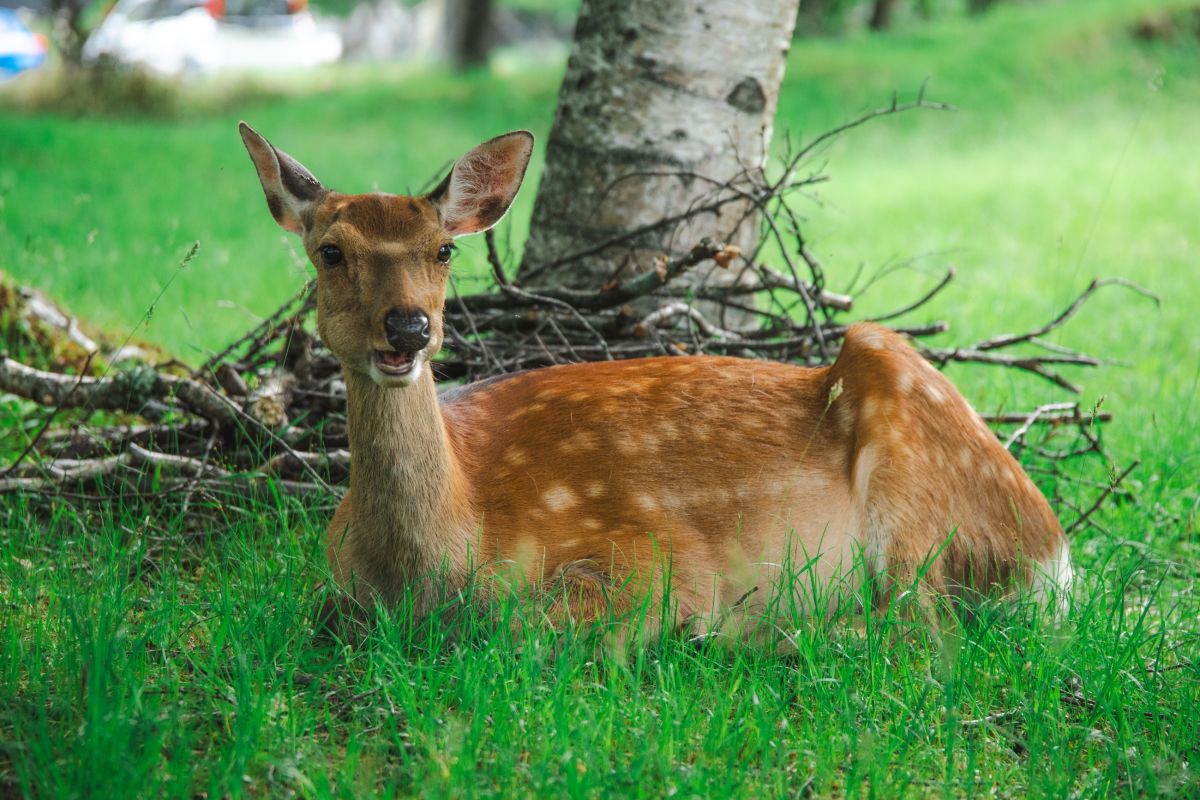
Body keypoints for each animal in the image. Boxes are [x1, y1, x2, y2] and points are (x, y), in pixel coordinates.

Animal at [238, 120, 1075, 642]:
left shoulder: (640, 547)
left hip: (914, 470)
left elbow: (532, 626)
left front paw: (693, 622)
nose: (409, 328)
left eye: (444, 250)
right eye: (331, 251)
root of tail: (1057, 556)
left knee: (922, 624)